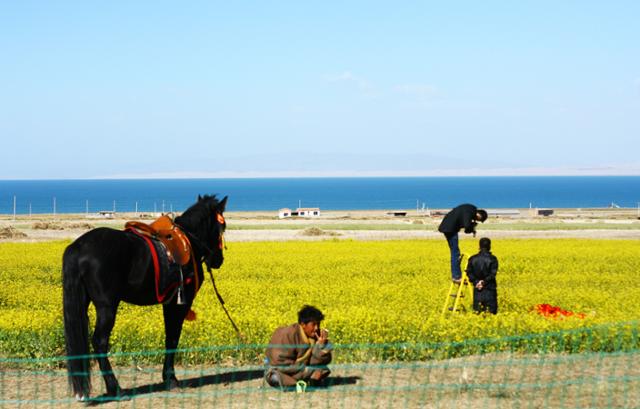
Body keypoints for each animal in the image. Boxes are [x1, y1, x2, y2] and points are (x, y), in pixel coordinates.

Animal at [62, 194, 228, 398]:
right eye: (223, 226)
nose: (218, 260)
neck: (189, 241)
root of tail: (78, 247)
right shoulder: (179, 304)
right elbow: (173, 338)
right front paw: (171, 379)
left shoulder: (169, 303)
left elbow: (170, 337)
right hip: (106, 307)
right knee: (99, 341)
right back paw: (115, 388)